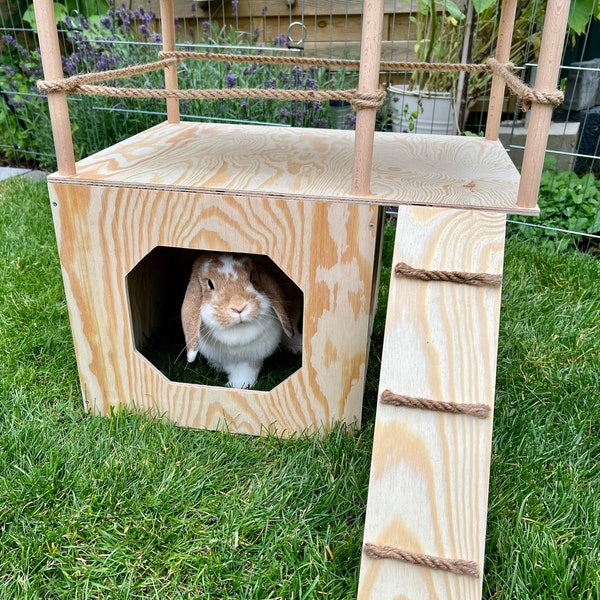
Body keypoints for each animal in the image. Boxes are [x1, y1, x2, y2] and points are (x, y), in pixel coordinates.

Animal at [178, 252, 300, 390]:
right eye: (210, 283)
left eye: (251, 276)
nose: (239, 307)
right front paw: (217, 368)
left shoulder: (251, 357)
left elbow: (245, 373)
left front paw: (237, 386)